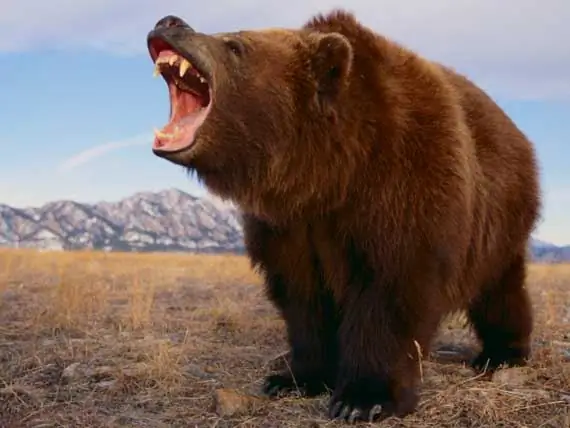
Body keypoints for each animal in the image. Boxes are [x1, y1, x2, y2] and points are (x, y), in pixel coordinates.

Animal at [144, 10, 540, 424]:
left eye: (235, 45)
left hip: (498, 218)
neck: (330, 174)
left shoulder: (404, 185)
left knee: (499, 290)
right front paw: (295, 377)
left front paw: (363, 398)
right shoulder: (290, 225)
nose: (170, 21)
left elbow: (391, 290)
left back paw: (502, 353)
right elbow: (302, 298)